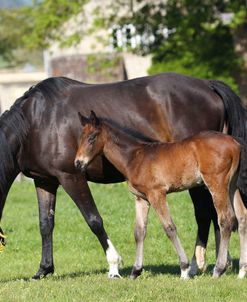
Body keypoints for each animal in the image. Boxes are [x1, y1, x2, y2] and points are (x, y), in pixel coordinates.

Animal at [74, 111, 247, 278]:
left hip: (216, 184)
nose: (78, 163)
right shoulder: (141, 198)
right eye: (79, 138)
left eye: (91, 138)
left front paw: (184, 269)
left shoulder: (157, 194)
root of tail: (235, 143)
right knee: (241, 216)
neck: (135, 157)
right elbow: (139, 231)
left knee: (226, 219)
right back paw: (241, 271)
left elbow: (169, 227)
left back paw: (218, 269)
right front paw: (135, 271)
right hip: (232, 185)